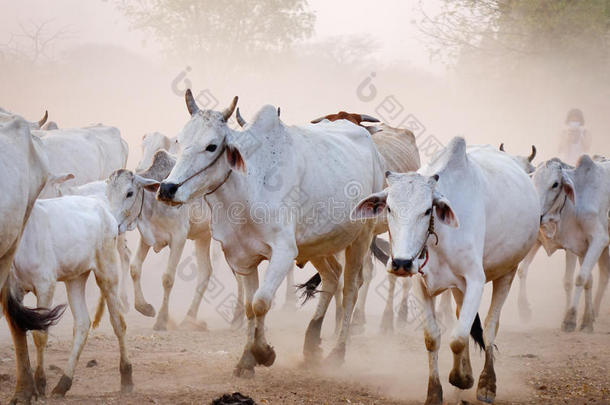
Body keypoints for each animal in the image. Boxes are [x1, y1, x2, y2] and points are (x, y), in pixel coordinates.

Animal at [157, 90, 384, 376]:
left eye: (211, 146)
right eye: (180, 140)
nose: (167, 189)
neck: (248, 185)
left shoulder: (284, 252)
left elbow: (261, 302)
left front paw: (263, 352)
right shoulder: (241, 257)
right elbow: (249, 307)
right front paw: (246, 359)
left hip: (361, 236)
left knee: (351, 289)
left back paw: (337, 353)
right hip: (316, 244)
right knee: (332, 277)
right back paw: (311, 343)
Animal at [352, 137, 536, 402]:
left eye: (427, 210)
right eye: (389, 209)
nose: (401, 263)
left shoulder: (475, 280)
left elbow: (458, 338)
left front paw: (462, 379)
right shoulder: (421, 284)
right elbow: (434, 338)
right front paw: (436, 391)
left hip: (508, 271)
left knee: (490, 327)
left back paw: (486, 383)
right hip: (460, 288)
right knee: (464, 318)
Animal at [528, 156, 604, 330]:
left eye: (555, 184)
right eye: (533, 181)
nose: (537, 215)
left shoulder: (599, 239)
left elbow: (580, 278)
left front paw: (570, 319)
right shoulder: (581, 246)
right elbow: (587, 280)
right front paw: (586, 321)